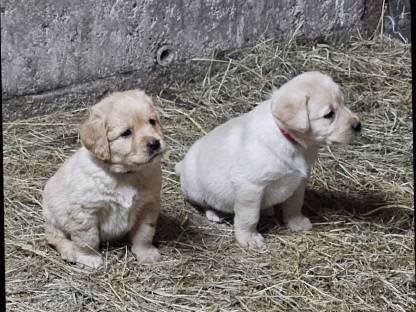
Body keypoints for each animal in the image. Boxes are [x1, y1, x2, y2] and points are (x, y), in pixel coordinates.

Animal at [42, 89, 165, 266]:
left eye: (152, 122)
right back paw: (70, 250)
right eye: (126, 133)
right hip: (52, 214)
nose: (155, 143)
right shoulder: (85, 211)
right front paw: (89, 259)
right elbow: (88, 238)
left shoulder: (148, 205)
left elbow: (145, 232)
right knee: (54, 236)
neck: (125, 175)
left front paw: (146, 253)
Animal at [176, 70, 360, 249]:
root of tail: (181, 165)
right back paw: (214, 213)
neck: (290, 141)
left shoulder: (299, 182)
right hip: (195, 188)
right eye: (329, 114)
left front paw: (297, 223)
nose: (358, 125)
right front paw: (248, 238)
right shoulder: (251, 186)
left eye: (343, 103)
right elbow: (249, 217)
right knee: (203, 203)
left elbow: (294, 205)